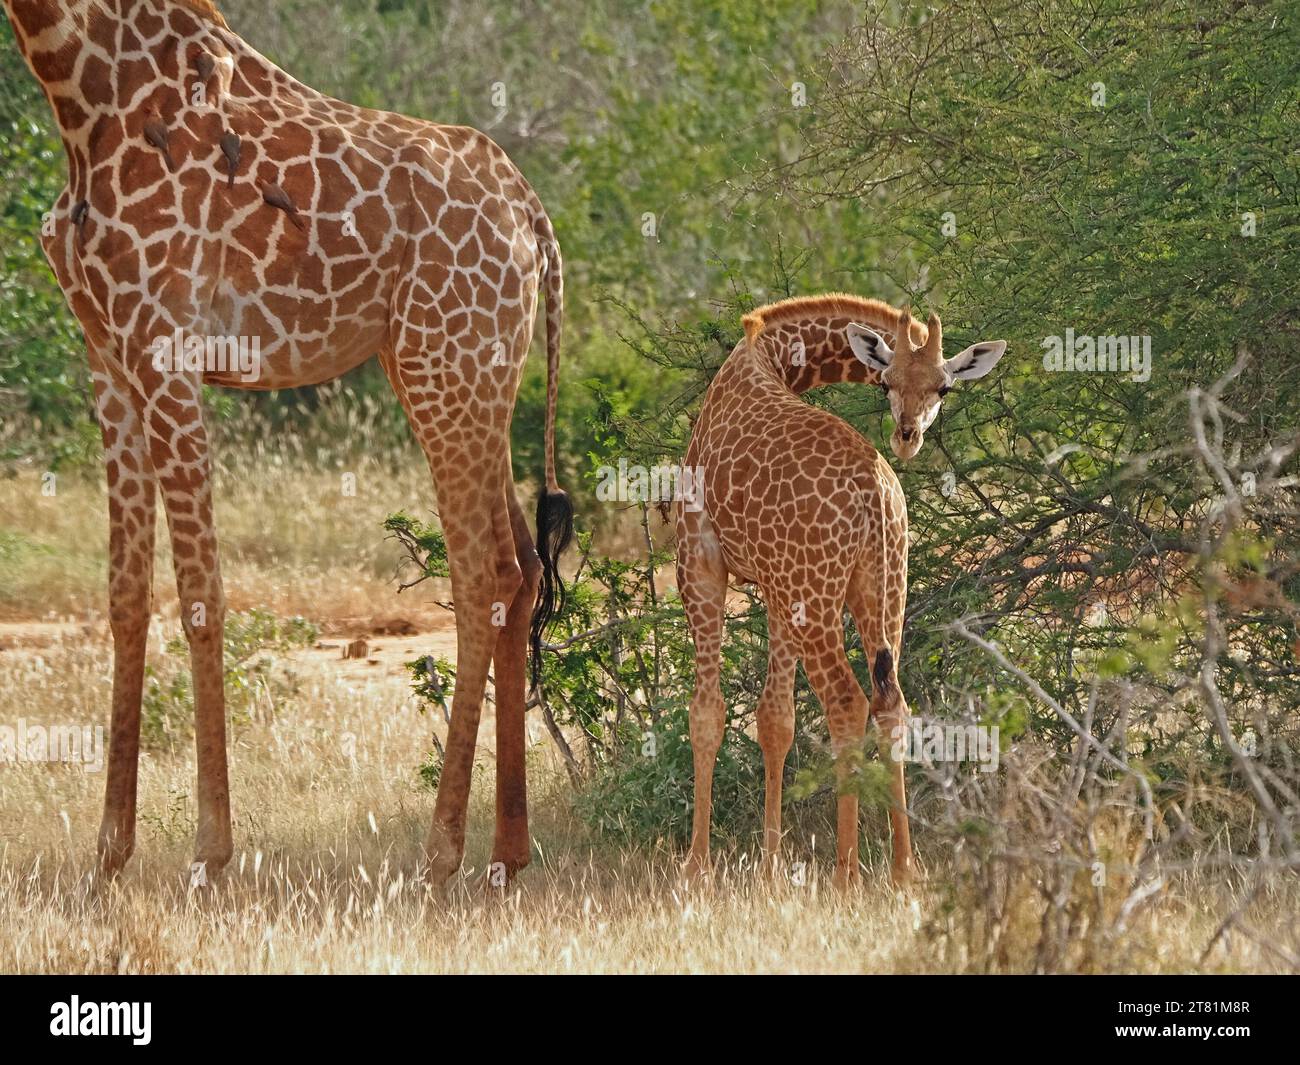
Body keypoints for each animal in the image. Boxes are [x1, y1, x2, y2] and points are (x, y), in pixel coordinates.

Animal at [4, 0, 573, 886]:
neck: (81, 91)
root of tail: (531, 213)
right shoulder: (108, 351)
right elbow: (124, 595)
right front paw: (109, 855)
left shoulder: (167, 347)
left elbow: (201, 593)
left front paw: (210, 853)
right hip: (460, 367)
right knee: (518, 564)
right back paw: (507, 855)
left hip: (444, 358)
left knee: (484, 568)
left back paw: (440, 851)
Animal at [675, 293, 1006, 887]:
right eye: (886, 382)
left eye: (943, 388)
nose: (907, 435)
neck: (769, 354)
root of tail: (876, 492)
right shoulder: (776, 586)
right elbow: (775, 719)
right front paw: (770, 866)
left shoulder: (700, 562)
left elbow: (708, 713)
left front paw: (697, 867)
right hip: (883, 585)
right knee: (890, 701)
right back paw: (903, 869)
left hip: (818, 594)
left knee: (848, 703)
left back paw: (846, 874)